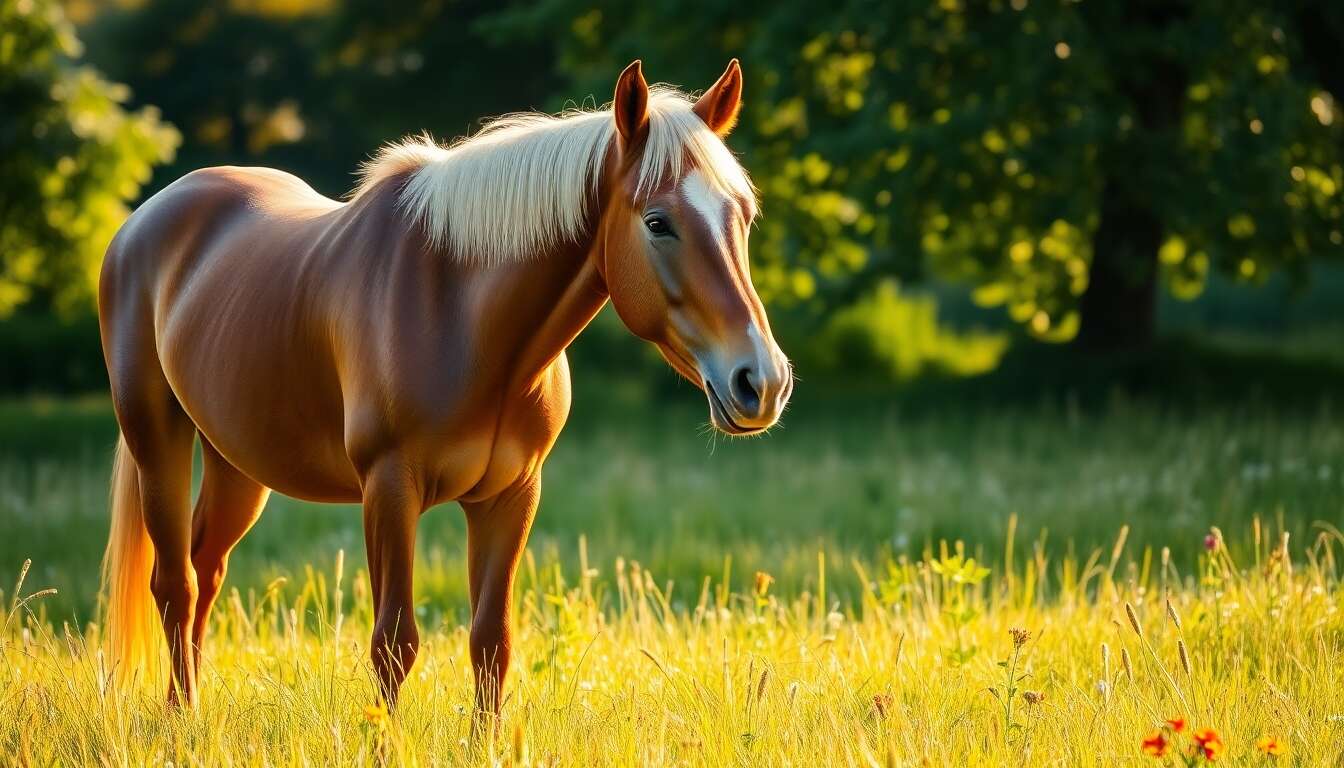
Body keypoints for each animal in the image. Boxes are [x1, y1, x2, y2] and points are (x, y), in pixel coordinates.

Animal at [99, 59, 792, 716]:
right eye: (657, 221)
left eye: (744, 215)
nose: (762, 381)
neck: (462, 316)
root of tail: (146, 220)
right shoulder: (388, 488)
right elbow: (394, 644)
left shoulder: (511, 495)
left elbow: (492, 644)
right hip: (157, 437)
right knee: (175, 583)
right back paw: (182, 722)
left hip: (237, 464)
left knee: (205, 569)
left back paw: (186, 705)